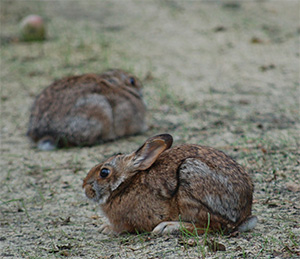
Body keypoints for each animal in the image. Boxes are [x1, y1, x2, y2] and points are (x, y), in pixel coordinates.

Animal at [82, 134, 258, 236]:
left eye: (104, 172)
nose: (84, 188)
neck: (125, 184)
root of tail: (243, 215)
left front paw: (107, 229)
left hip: (190, 182)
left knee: (215, 226)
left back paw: (168, 227)